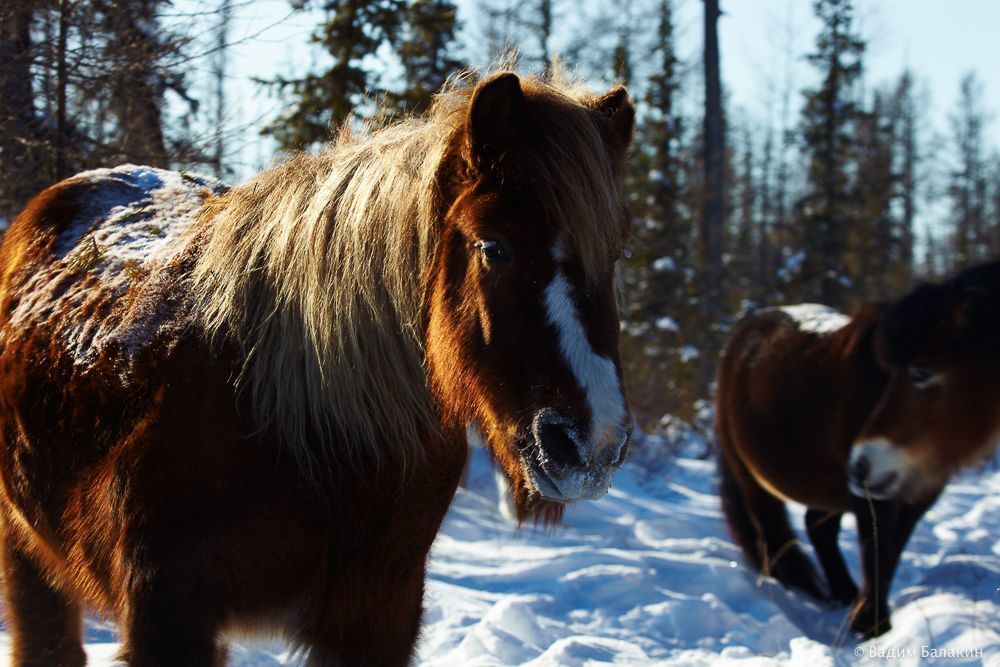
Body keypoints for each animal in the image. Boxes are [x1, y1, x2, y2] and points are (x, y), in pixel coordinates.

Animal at [716, 259, 1000, 639]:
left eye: (920, 372)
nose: (862, 463)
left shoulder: (915, 494)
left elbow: (890, 553)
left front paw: (866, 616)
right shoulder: (875, 499)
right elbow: (875, 551)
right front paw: (872, 624)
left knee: (817, 528)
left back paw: (842, 594)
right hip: (753, 481)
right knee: (774, 540)